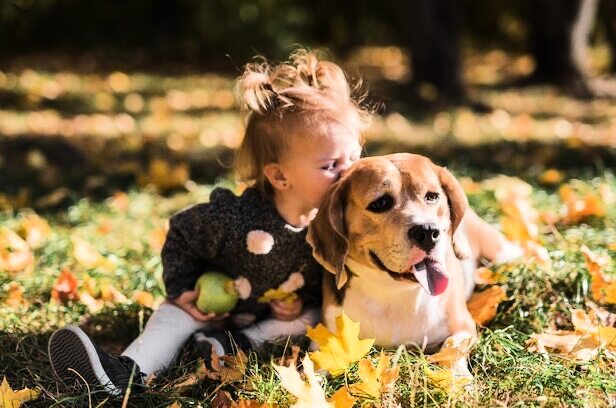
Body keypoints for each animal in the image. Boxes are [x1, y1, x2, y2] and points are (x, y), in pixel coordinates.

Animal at [308, 153, 520, 354]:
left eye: (432, 196)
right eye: (380, 203)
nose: (427, 232)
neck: (394, 293)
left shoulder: (464, 327)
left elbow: (451, 349)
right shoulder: (323, 338)